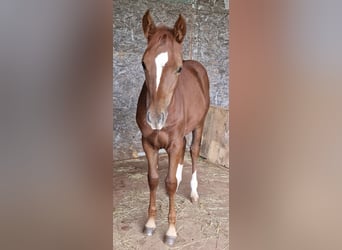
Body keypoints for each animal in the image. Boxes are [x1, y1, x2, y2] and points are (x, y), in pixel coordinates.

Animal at [136, 10, 210, 246]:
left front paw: (170, 231)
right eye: (143, 63)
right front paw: (150, 223)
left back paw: (193, 192)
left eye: (178, 68)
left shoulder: (175, 141)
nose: (155, 118)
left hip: (199, 125)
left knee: (193, 151)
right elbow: (153, 180)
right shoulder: (148, 143)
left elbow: (168, 183)